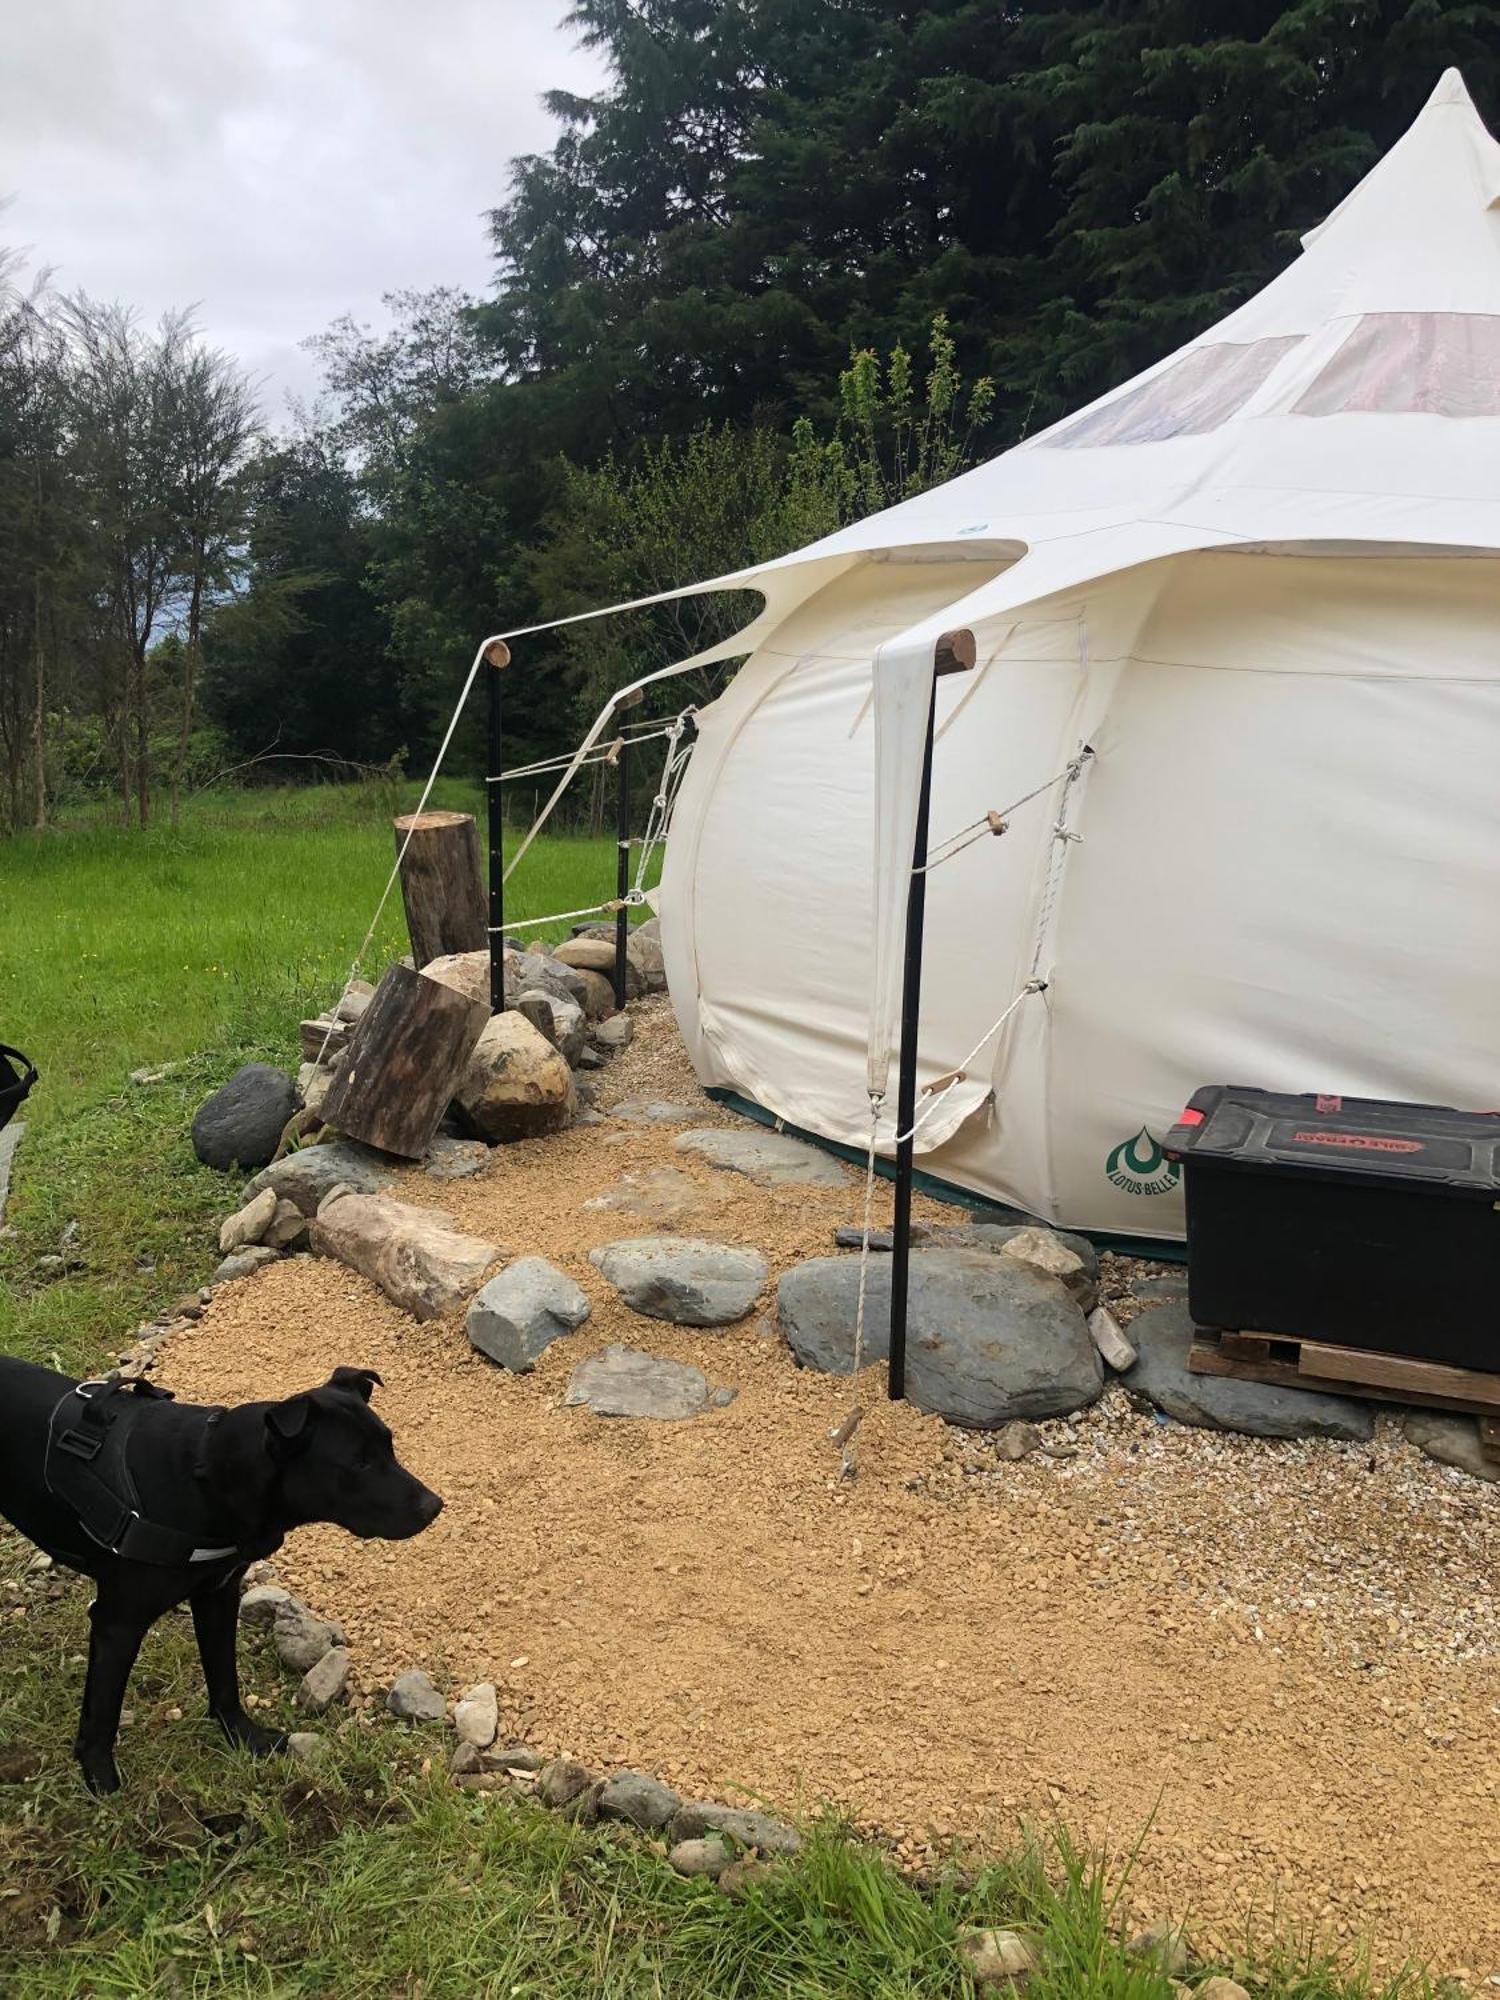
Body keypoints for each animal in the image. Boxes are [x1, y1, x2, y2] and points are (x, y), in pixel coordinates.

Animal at [0, 1360, 440, 1800]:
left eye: (389, 1446)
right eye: (359, 1463)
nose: (434, 1506)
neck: (207, 1476)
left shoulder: (218, 1595)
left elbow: (224, 1674)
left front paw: (242, 1734)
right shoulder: (118, 1623)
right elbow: (102, 1711)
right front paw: (100, 1779)